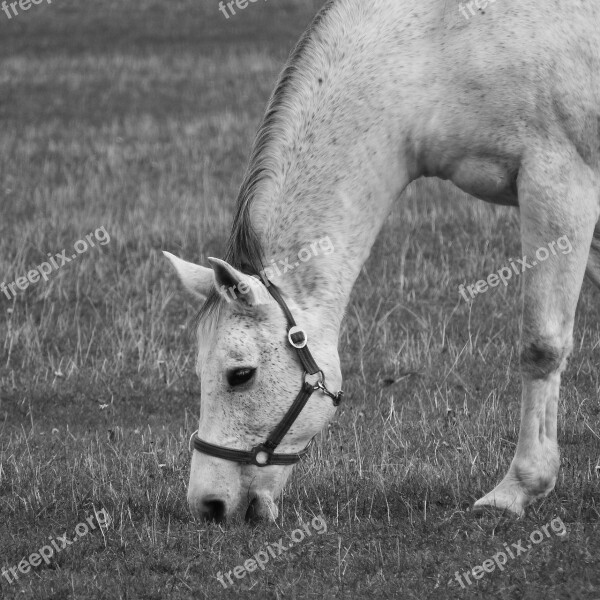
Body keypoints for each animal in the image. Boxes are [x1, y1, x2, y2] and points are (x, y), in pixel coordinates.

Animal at [164, 0, 600, 520]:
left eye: (240, 375)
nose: (207, 504)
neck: (441, 43)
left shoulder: (559, 185)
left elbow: (542, 346)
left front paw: (517, 489)